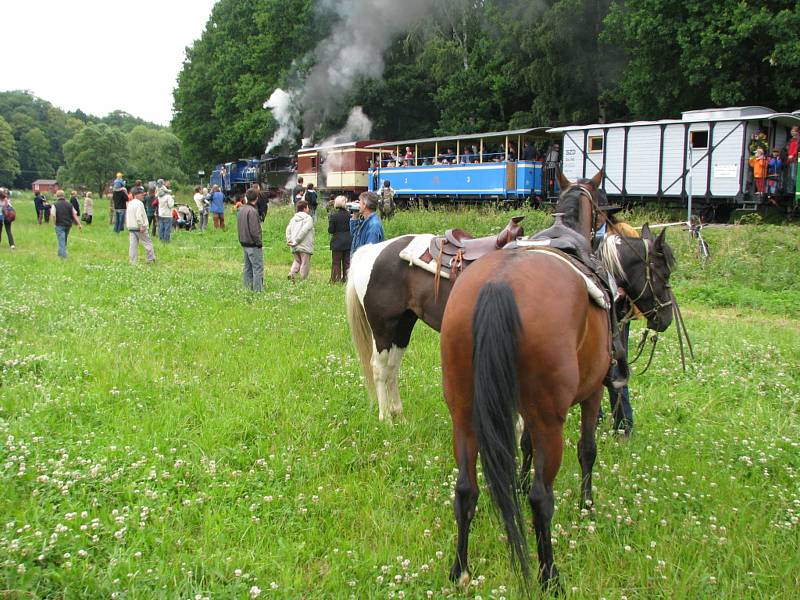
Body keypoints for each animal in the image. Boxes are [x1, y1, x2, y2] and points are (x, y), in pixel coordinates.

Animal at [438, 184, 676, 592]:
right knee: (541, 498)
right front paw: (587, 506)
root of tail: (499, 284)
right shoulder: (592, 394)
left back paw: (460, 569)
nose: (666, 316)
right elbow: (587, 451)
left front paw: (516, 484)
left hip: (465, 414)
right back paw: (549, 574)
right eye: (663, 270)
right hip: (551, 419)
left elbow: (523, 446)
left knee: (465, 489)